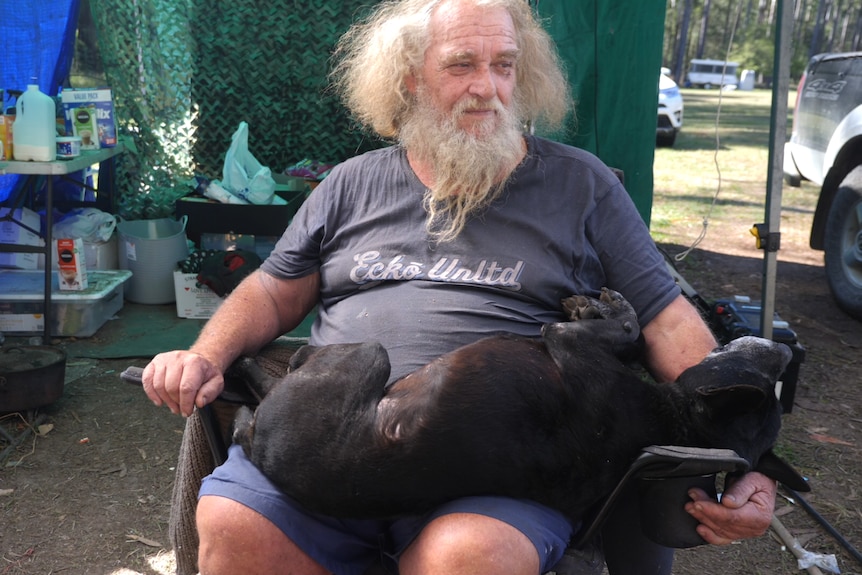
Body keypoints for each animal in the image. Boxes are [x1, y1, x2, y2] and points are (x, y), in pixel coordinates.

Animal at [231, 288, 808, 520]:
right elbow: (629, 334)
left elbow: (629, 330)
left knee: (292, 362)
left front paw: (607, 309)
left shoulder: (566, 342)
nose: (782, 347)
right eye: (767, 368)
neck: (673, 422)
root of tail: (265, 451)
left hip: (367, 356)